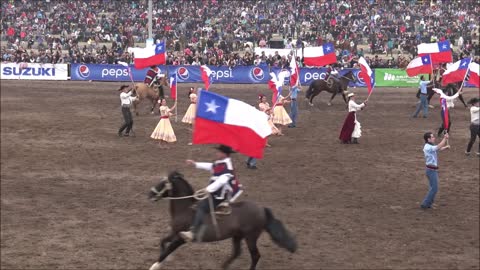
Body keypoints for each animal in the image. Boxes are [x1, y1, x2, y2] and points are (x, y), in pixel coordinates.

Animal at [147, 171, 296, 270]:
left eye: (163, 183)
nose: (150, 194)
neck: (185, 209)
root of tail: (262, 209)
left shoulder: (181, 238)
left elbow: (167, 250)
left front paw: (155, 265)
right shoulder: (174, 233)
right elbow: (163, 242)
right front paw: (166, 259)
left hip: (251, 237)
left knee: (255, 256)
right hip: (237, 236)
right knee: (237, 253)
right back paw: (223, 266)